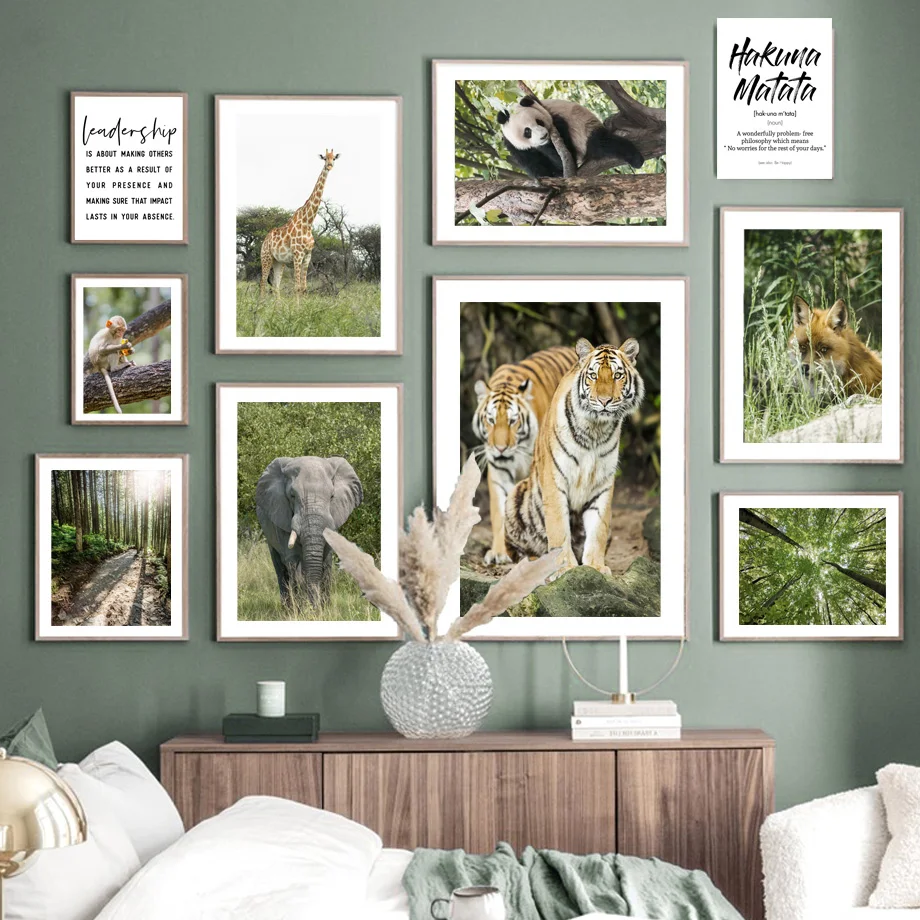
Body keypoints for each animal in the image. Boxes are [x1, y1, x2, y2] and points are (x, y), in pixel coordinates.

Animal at [255, 456, 363, 607]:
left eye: (332, 496)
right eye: (292, 495)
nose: (314, 607)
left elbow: (326, 559)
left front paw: (323, 609)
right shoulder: (281, 516)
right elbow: (292, 559)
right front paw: (302, 609)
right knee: (280, 568)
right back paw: (287, 609)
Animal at [260, 149, 339, 301]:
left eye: (334, 158)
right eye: (324, 158)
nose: (330, 166)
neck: (307, 223)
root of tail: (265, 240)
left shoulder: (307, 256)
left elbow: (304, 288)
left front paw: (304, 307)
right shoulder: (297, 254)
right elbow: (296, 287)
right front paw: (297, 308)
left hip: (279, 262)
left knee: (276, 286)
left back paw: (277, 308)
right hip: (266, 257)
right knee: (262, 284)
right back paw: (261, 306)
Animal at [471, 345, 578, 565]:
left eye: (513, 421)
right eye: (491, 420)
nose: (500, 448)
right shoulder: (498, 473)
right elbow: (499, 513)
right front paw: (499, 552)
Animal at [503, 337, 645, 580]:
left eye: (617, 375)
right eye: (593, 375)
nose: (605, 401)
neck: (595, 430)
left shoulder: (603, 485)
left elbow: (598, 530)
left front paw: (596, 566)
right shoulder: (555, 480)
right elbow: (559, 530)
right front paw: (563, 568)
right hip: (514, 497)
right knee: (518, 552)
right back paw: (533, 563)